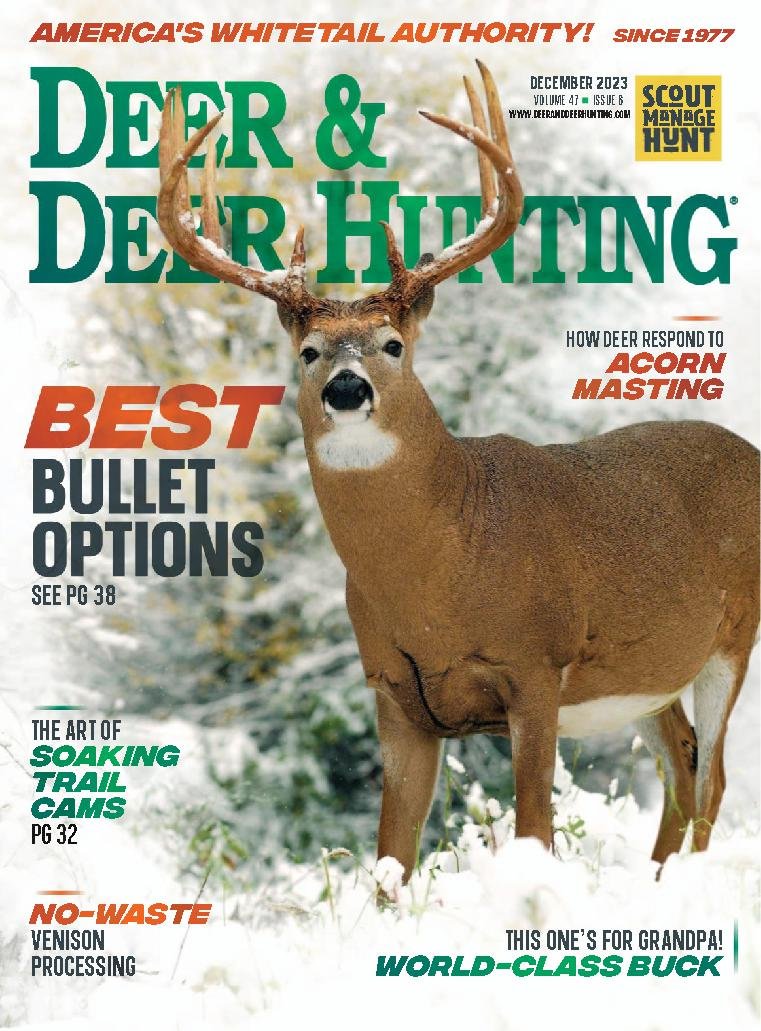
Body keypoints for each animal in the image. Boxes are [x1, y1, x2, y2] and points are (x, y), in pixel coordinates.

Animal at [157, 62, 760, 880]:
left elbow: (534, 830)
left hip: (733, 635)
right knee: (683, 760)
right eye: (308, 352)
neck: (438, 577)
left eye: (392, 344)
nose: (347, 389)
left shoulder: (534, 665)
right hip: (649, 673)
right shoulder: (394, 692)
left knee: (713, 777)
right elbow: (390, 859)